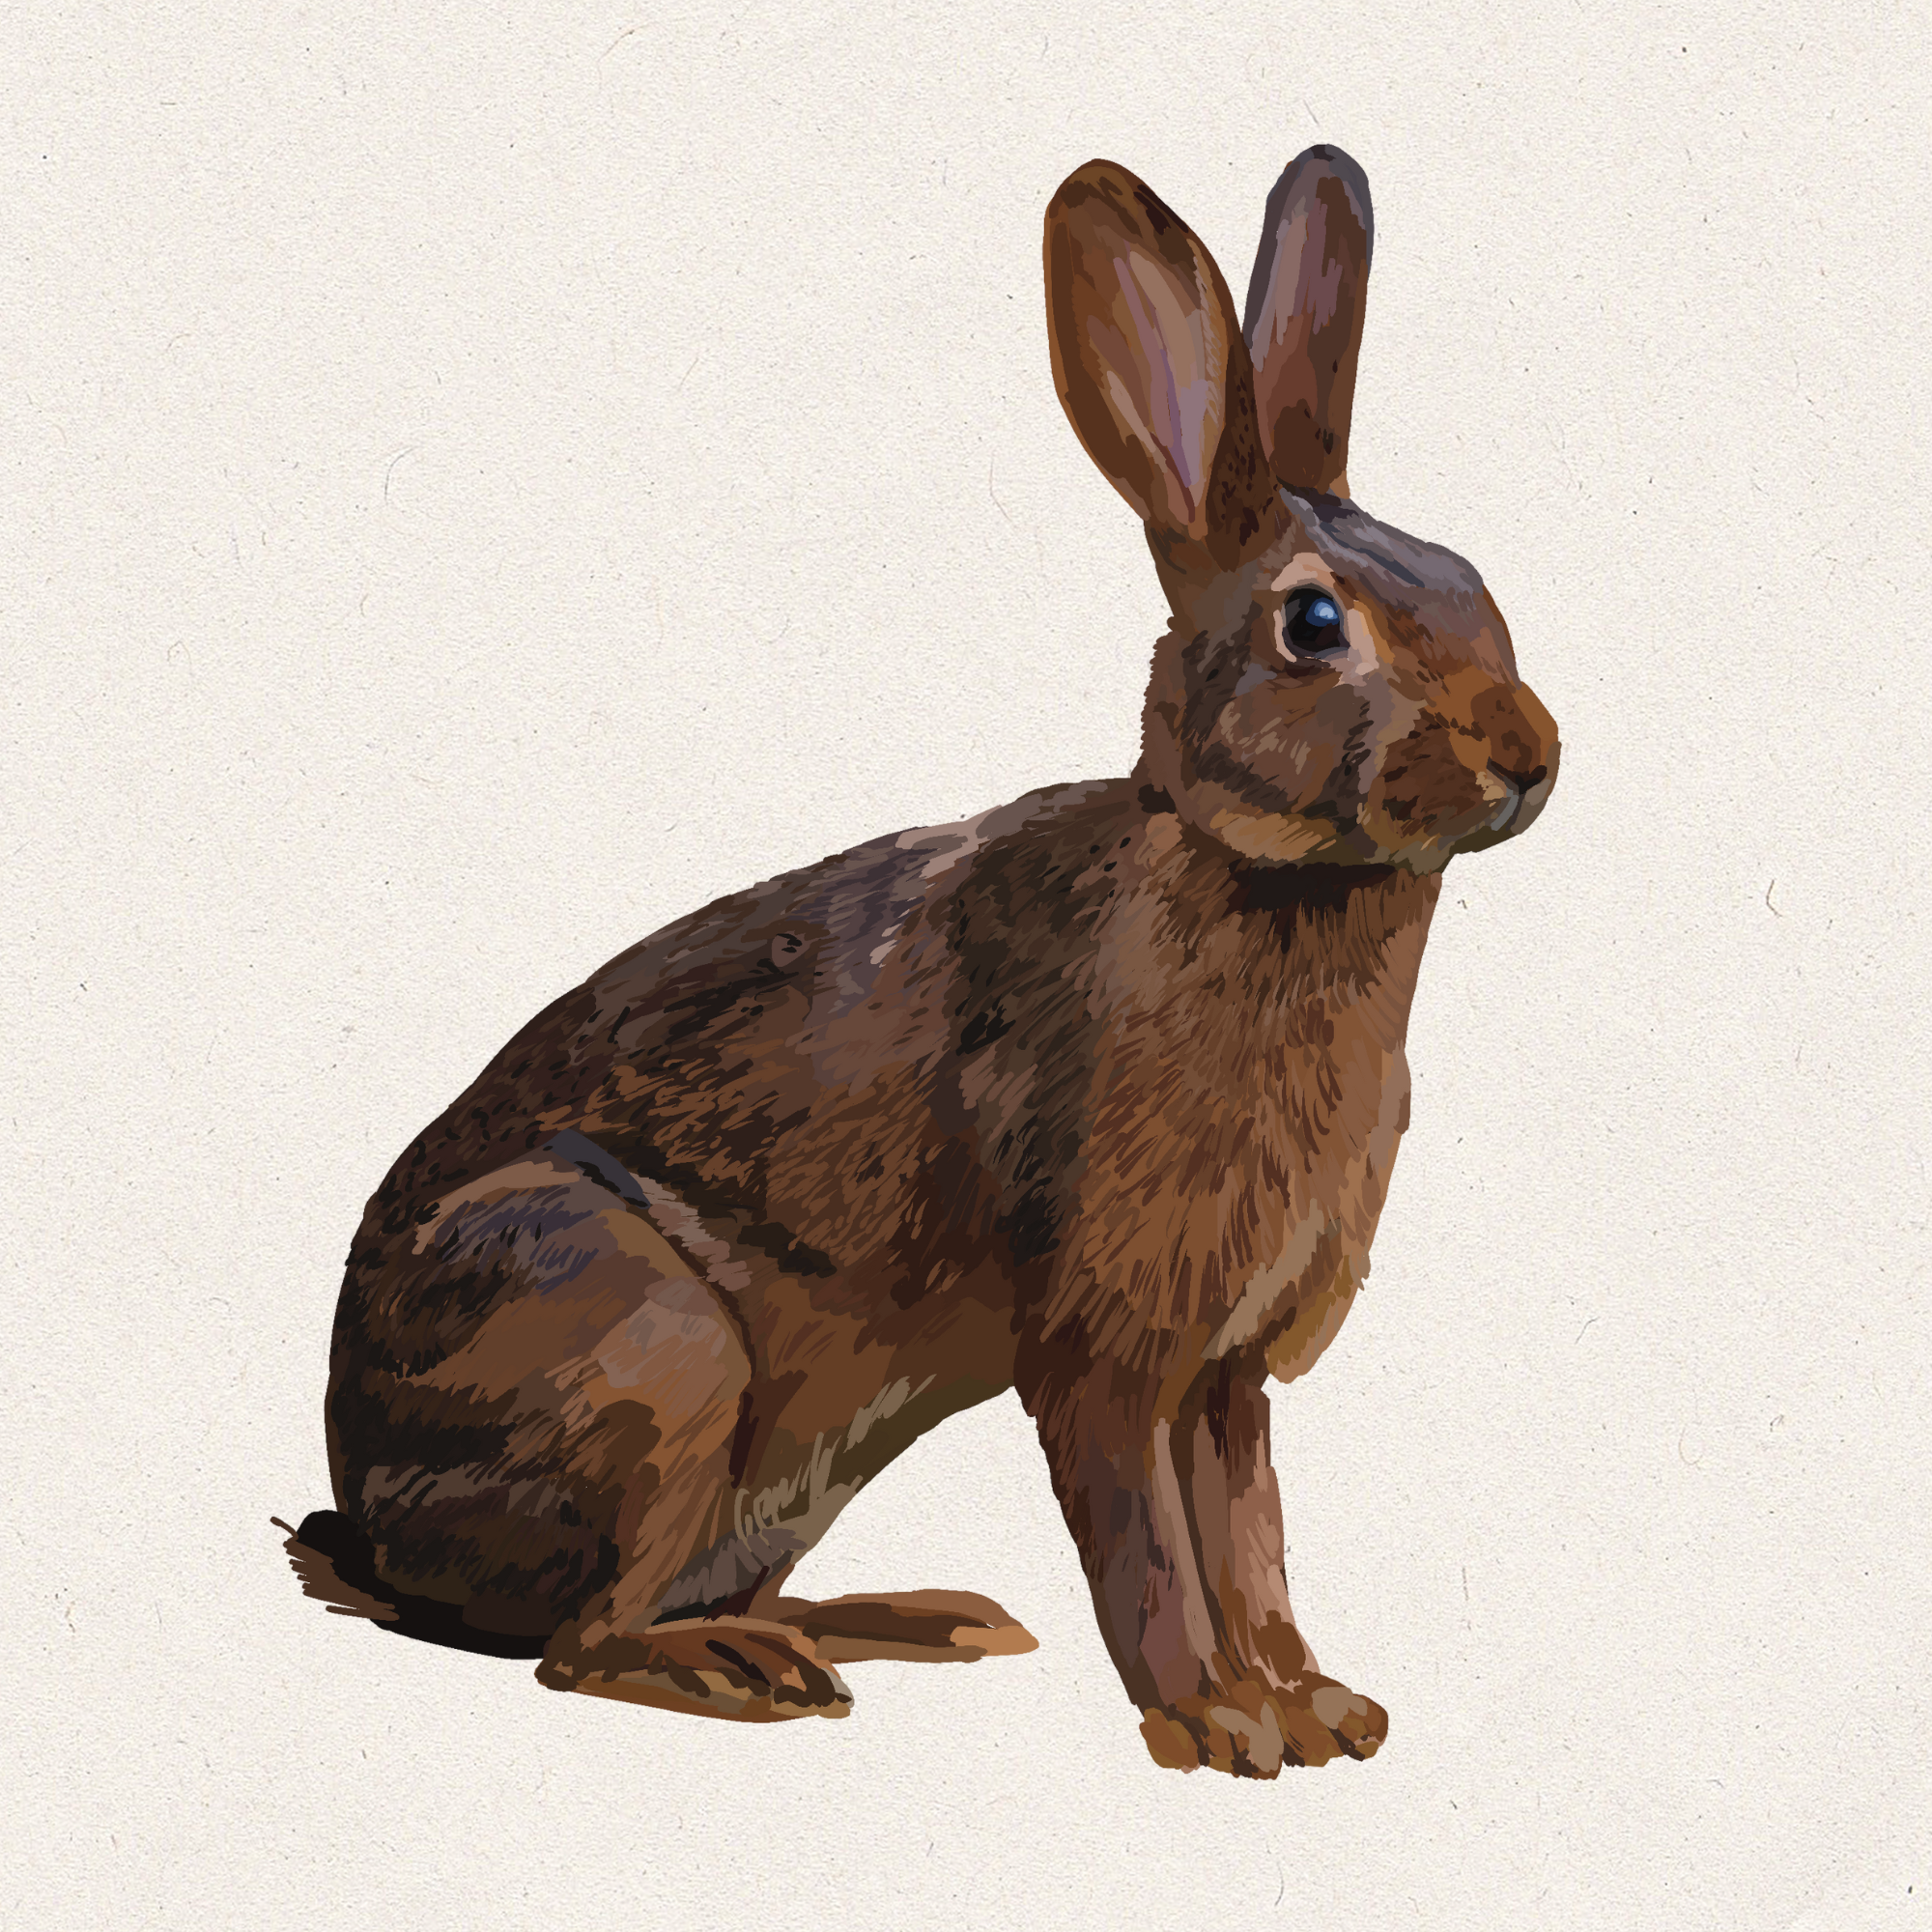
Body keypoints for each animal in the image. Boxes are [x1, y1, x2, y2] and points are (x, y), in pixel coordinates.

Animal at [289, 146, 1558, 1778]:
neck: (1268, 887)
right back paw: (747, 1666)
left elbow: (1252, 1536)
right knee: (577, 1645)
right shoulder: (1103, 1345)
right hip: (641, 1343)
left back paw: (903, 1620)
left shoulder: (1227, 1372)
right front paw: (1215, 1724)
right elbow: (1152, 1547)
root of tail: (363, 1530)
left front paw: (1319, 1709)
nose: (1532, 755)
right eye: (1315, 623)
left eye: (1468, 574)